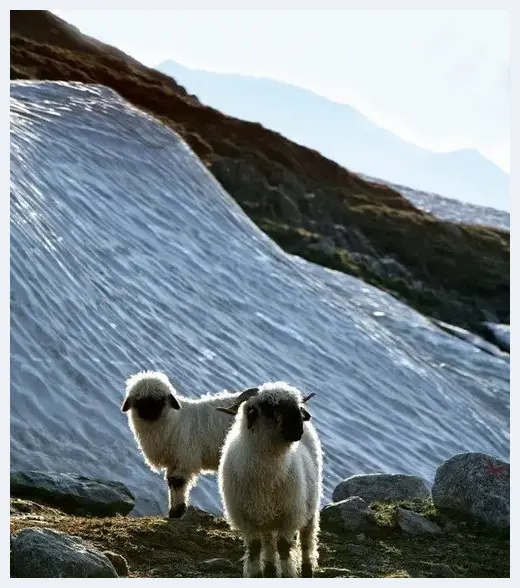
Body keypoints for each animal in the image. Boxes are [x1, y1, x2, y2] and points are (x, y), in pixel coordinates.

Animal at [122, 372, 260, 520]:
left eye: (161, 400)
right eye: (139, 400)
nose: (150, 413)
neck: (175, 422)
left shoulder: (185, 460)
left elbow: (177, 482)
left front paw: (177, 512)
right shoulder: (174, 462)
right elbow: (171, 482)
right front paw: (173, 512)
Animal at [215, 382, 320, 580]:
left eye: (296, 405)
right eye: (269, 407)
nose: (298, 429)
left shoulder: (290, 515)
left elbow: (284, 547)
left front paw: (288, 574)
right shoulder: (245, 518)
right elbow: (255, 548)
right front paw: (256, 574)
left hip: (309, 507)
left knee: (306, 540)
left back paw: (307, 569)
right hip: (266, 517)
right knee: (269, 542)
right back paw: (270, 570)